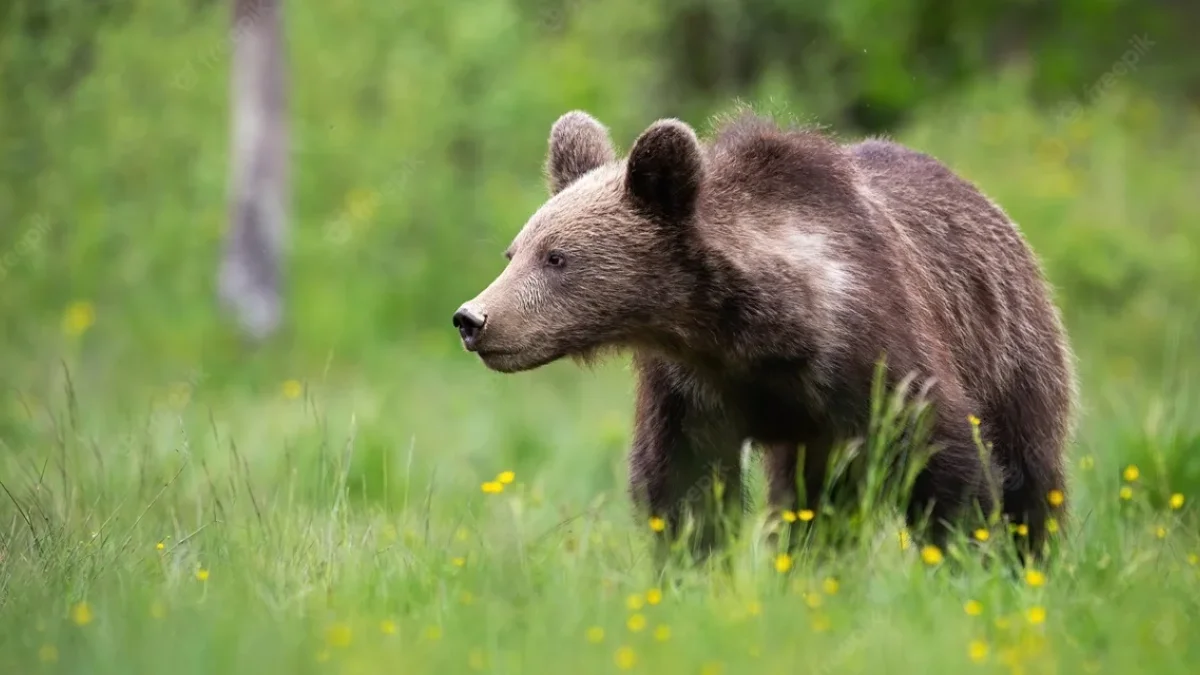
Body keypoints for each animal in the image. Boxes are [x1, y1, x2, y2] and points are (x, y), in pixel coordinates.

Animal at [451, 105, 1080, 557]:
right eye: (514, 251)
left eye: (556, 258)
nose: (472, 318)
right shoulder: (691, 388)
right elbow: (684, 487)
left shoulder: (877, 355)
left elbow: (947, 460)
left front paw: (975, 556)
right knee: (818, 506)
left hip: (1012, 348)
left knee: (1032, 464)